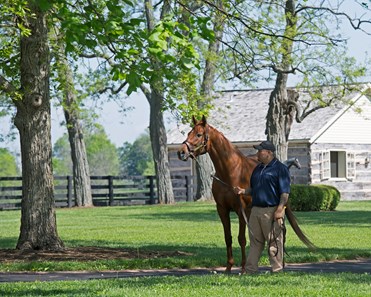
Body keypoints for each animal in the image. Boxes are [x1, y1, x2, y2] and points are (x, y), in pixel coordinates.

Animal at [179, 115, 316, 272]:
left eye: (199, 134)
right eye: (188, 133)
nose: (181, 152)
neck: (231, 172)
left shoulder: (241, 210)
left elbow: (241, 239)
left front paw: (244, 268)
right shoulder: (222, 209)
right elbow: (228, 238)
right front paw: (228, 268)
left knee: (278, 233)